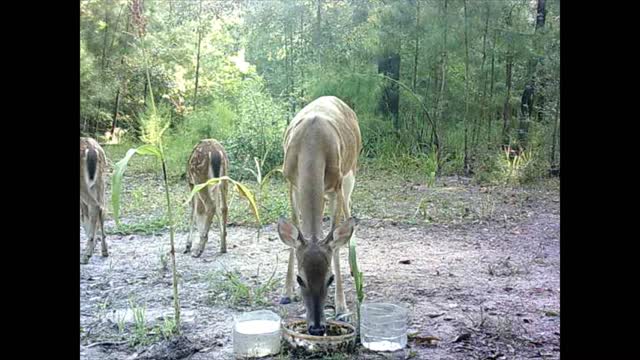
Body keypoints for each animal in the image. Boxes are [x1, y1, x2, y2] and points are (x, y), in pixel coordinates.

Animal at [278, 95, 362, 334]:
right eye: (300, 279)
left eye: (330, 278)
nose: (316, 328)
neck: (312, 142)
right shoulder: (291, 181)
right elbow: (295, 227)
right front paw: (286, 293)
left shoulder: (337, 185)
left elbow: (335, 240)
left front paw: (342, 308)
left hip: (351, 173)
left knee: (349, 216)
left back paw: (355, 270)